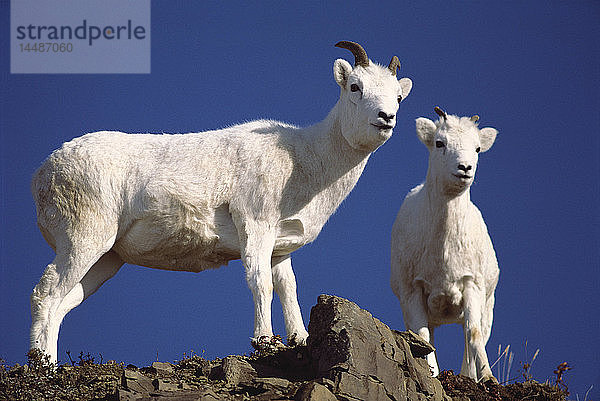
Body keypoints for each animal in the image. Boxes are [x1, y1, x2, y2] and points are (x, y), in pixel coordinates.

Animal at [29, 41, 412, 362]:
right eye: (355, 87)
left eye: (398, 97)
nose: (386, 118)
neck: (305, 161)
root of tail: (44, 172)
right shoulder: (255, 226)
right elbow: (260, 283)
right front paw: (264, 341)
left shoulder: (281, 248)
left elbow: (287, 288)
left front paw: (300, 339)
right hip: (85, 239)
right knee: (45, 294)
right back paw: (42, 367)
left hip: (108, 258)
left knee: (62, 305)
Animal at [390, 106, 496, 382]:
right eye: (440, 143)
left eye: (477, 148)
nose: (464, 168)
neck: (443, 253)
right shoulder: (413, 291)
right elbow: (424, 338)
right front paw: (432, 375)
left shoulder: (471, 285)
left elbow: (472, 333)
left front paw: (489, 379)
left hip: (487, 309)